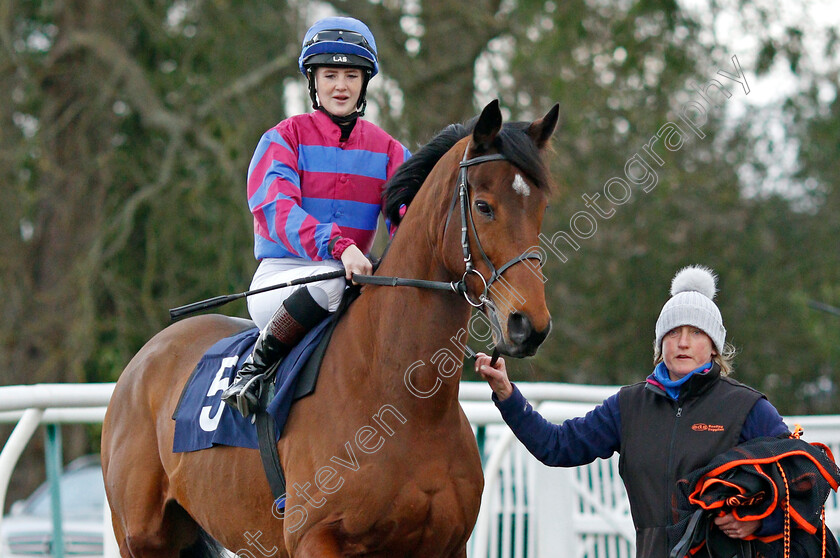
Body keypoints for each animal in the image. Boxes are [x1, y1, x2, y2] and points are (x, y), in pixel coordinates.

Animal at [101, 101, 556, 558]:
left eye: (540, 209)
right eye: (483, 206)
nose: (528, 325)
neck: (402, 400)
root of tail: (143, 360)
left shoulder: (447, 543)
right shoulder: (314, 537)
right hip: (141, 536)